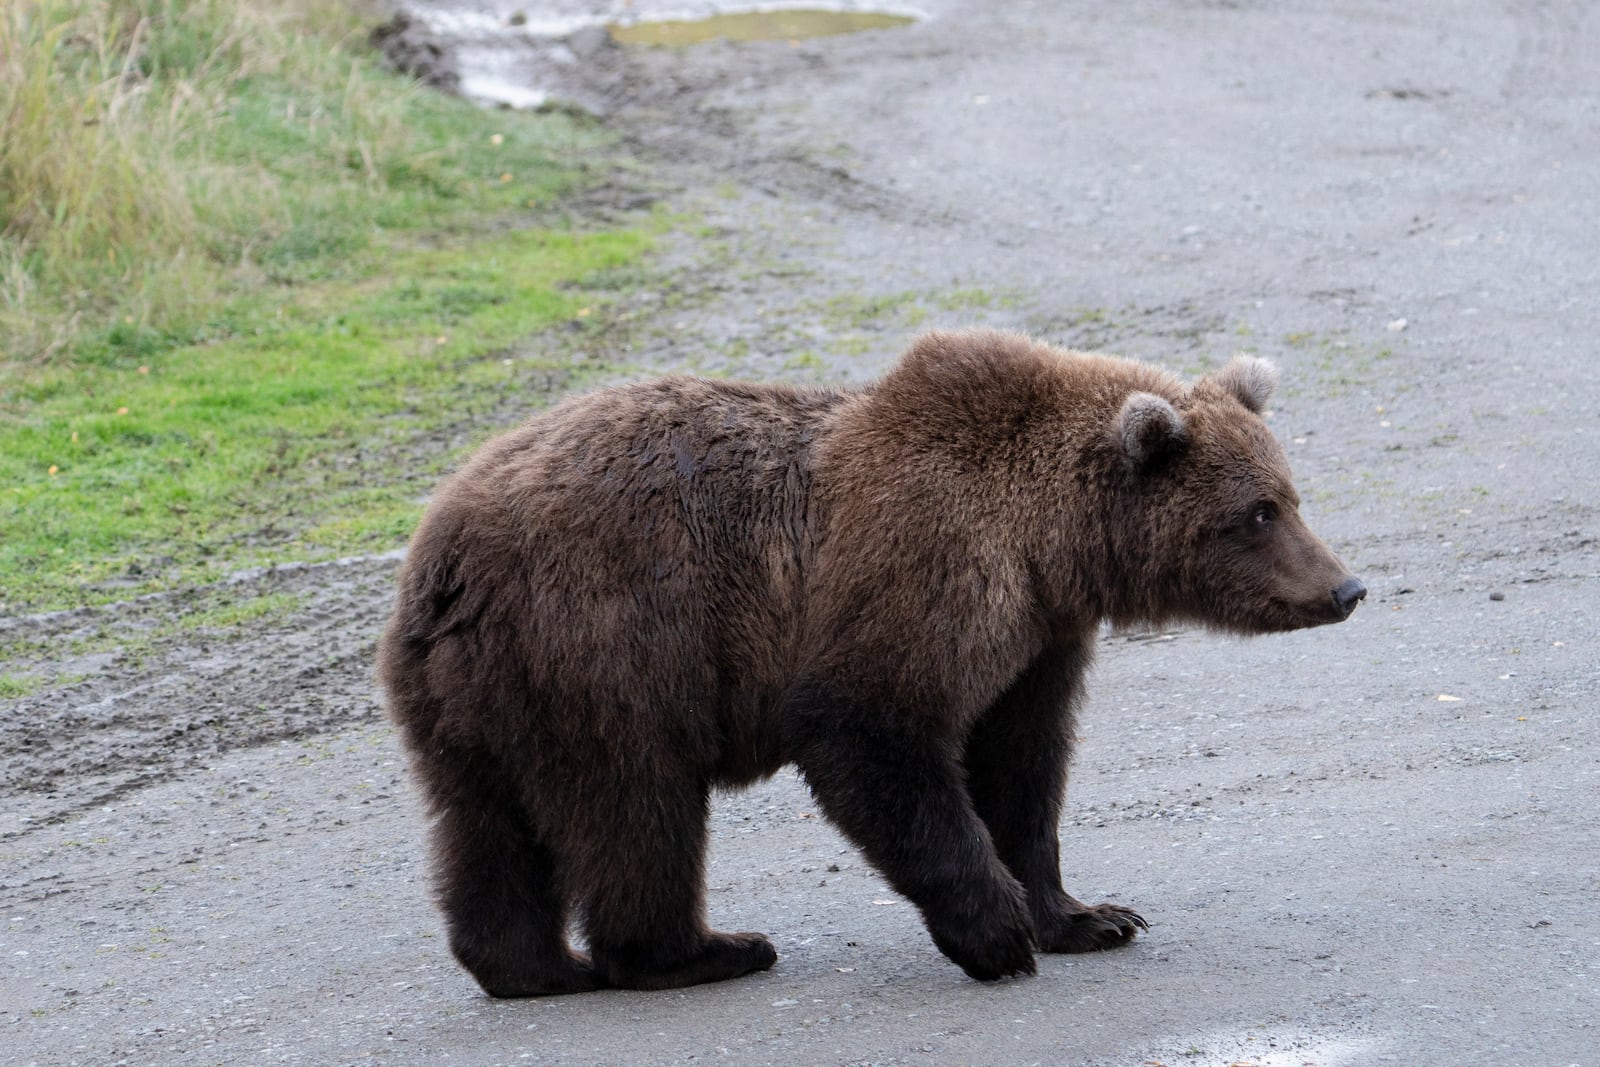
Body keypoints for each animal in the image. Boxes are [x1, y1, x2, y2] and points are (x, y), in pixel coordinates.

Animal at [374, 329, 1363, 998]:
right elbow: (871, 729)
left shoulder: (1037, 636)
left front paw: (1090, 914)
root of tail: (437, 559)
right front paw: (997, 930)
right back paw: (701, 950)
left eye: (1290, 495)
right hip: (609, 645)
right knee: (635, 807)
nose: (1345, 586)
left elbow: (1022, 766)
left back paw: (530, 964)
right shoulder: (927, 567)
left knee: (486, 822)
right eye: (1257, 512)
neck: (1049, 543)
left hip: (483, 693)